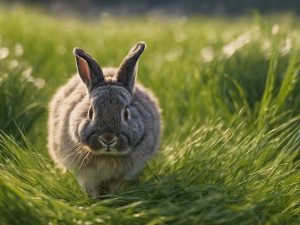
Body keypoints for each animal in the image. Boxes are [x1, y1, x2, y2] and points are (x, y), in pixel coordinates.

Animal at [48, 41, 162, 197]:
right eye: (90, 112)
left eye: (126, 113)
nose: (108, 138)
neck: (106, 156)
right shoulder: (86, 177)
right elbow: (92, 189)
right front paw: (94, 200)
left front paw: (111, 198)